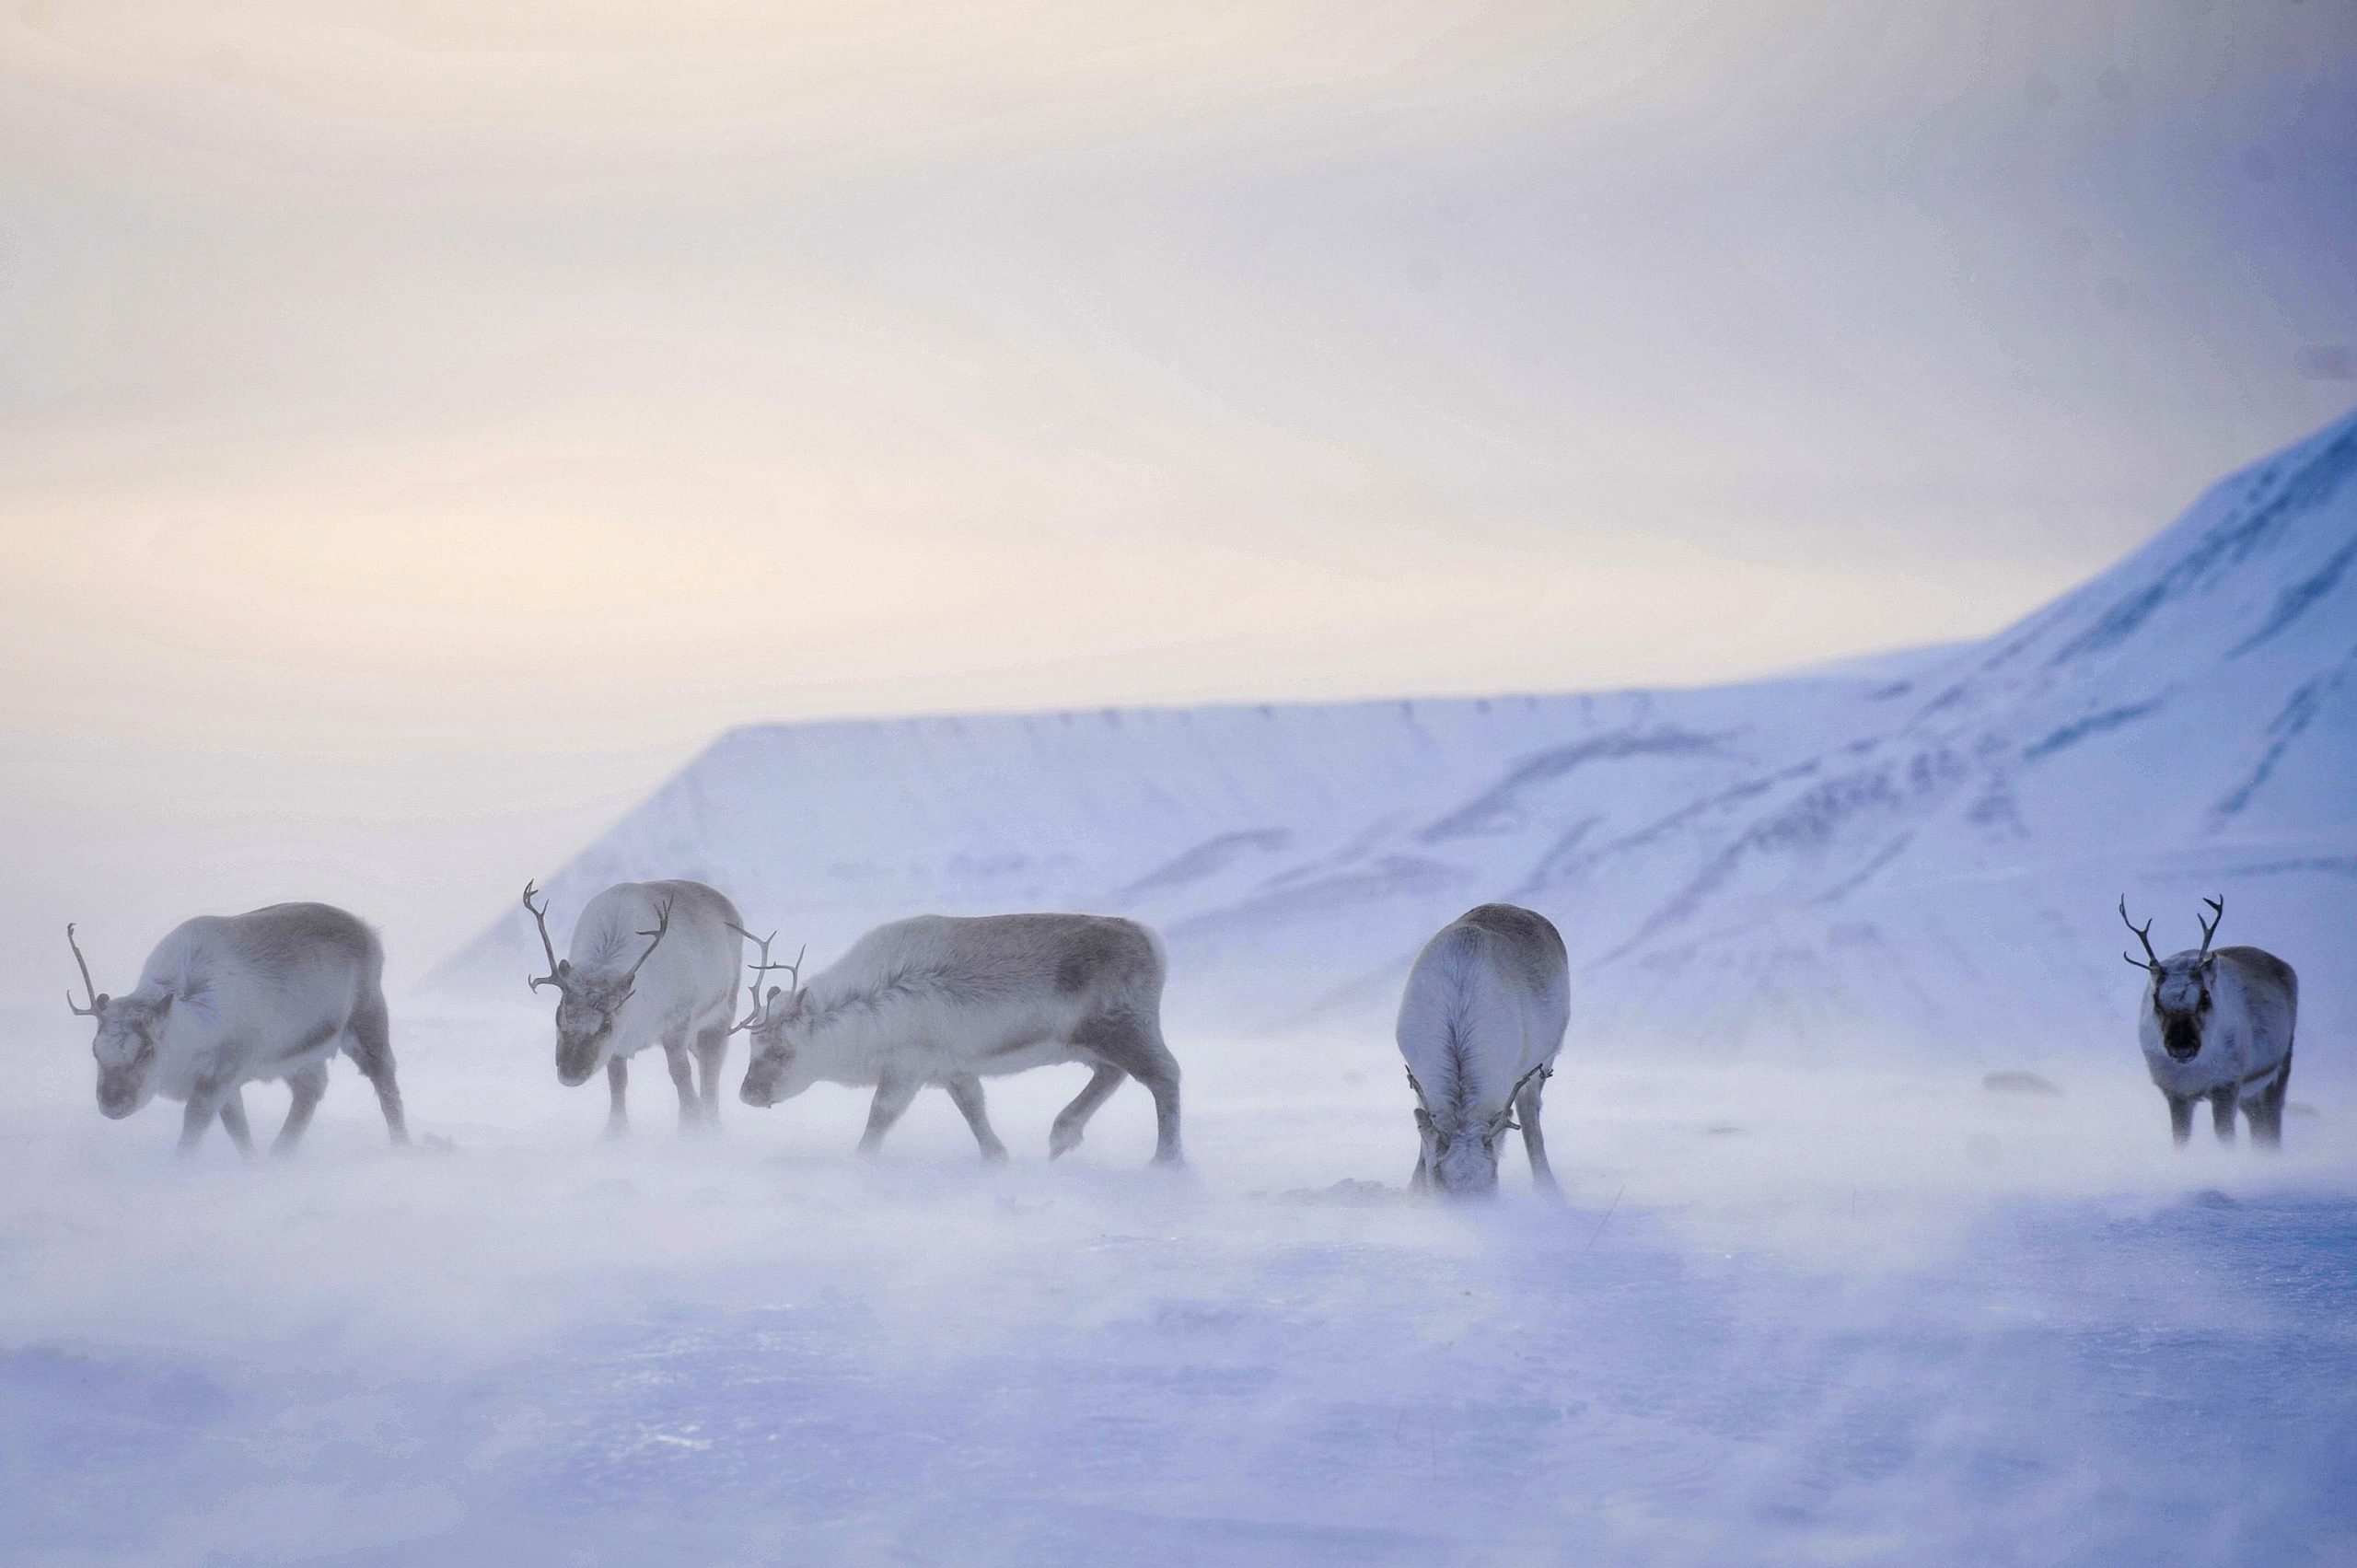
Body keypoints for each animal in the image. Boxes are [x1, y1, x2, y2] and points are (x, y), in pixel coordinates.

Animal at [64, 905, 408, 1157]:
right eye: (95, 1050)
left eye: (147, 1051)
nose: (112, 1104)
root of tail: (369, 931)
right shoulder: (227, 1083)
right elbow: (238, 1130)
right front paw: (251, 1162)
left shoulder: (220, 1077)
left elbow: (195, 1128)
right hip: (299, 1055)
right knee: (311, 1089)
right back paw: (278, 1155)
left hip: (365, 1020)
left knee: (385, 1080)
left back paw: (401, 1146)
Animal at [523, 879, 747, 1134]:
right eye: (558, 1017)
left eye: (606, 1024)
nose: (570, 1075)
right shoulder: (617, 1047)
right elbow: (617, 1083)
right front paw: (615, 1132)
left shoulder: (677, 1025)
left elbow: (681, 1075)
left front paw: (690, 1127)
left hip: (720, 1014)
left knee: (711, 1069)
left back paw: (713, 1123)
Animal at [735, 913, 1182, 1166]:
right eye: (751, 1049)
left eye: (781, 1051)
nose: (747, 1095)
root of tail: (1155, 944)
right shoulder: (952, 1067)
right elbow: (974, 1110)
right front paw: (997, 1157)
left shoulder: (908, 1064)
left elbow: (880, 1115)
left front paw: (862, 1160)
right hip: (1089, 1040)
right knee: (1112, 1074)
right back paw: (1061, 1135)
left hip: (1123, 1026)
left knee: (1165, 1075)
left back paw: (1166, 1161)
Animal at [1398, 903, 1569, 1198]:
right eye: (1439, 1181)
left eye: (1491, 1185)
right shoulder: (1417, 1078)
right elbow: (1424, 1140)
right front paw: (1414, 1193)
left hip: (1543, 1064)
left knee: (1531, 1116)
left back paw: (1548, 1188)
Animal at [2121, 896, 2297, 1147]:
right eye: (2156, 1000)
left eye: (2205, 998)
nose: (2182, 1048)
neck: (2196, 1072)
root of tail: (2286, 967)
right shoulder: (2176, 1092)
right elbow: (2180, 1140)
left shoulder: (2227, 1084)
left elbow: (2226, 1138)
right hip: (2249, 1094)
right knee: (2258, 1126)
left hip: (2278, 1070)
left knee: (2272, 1125)